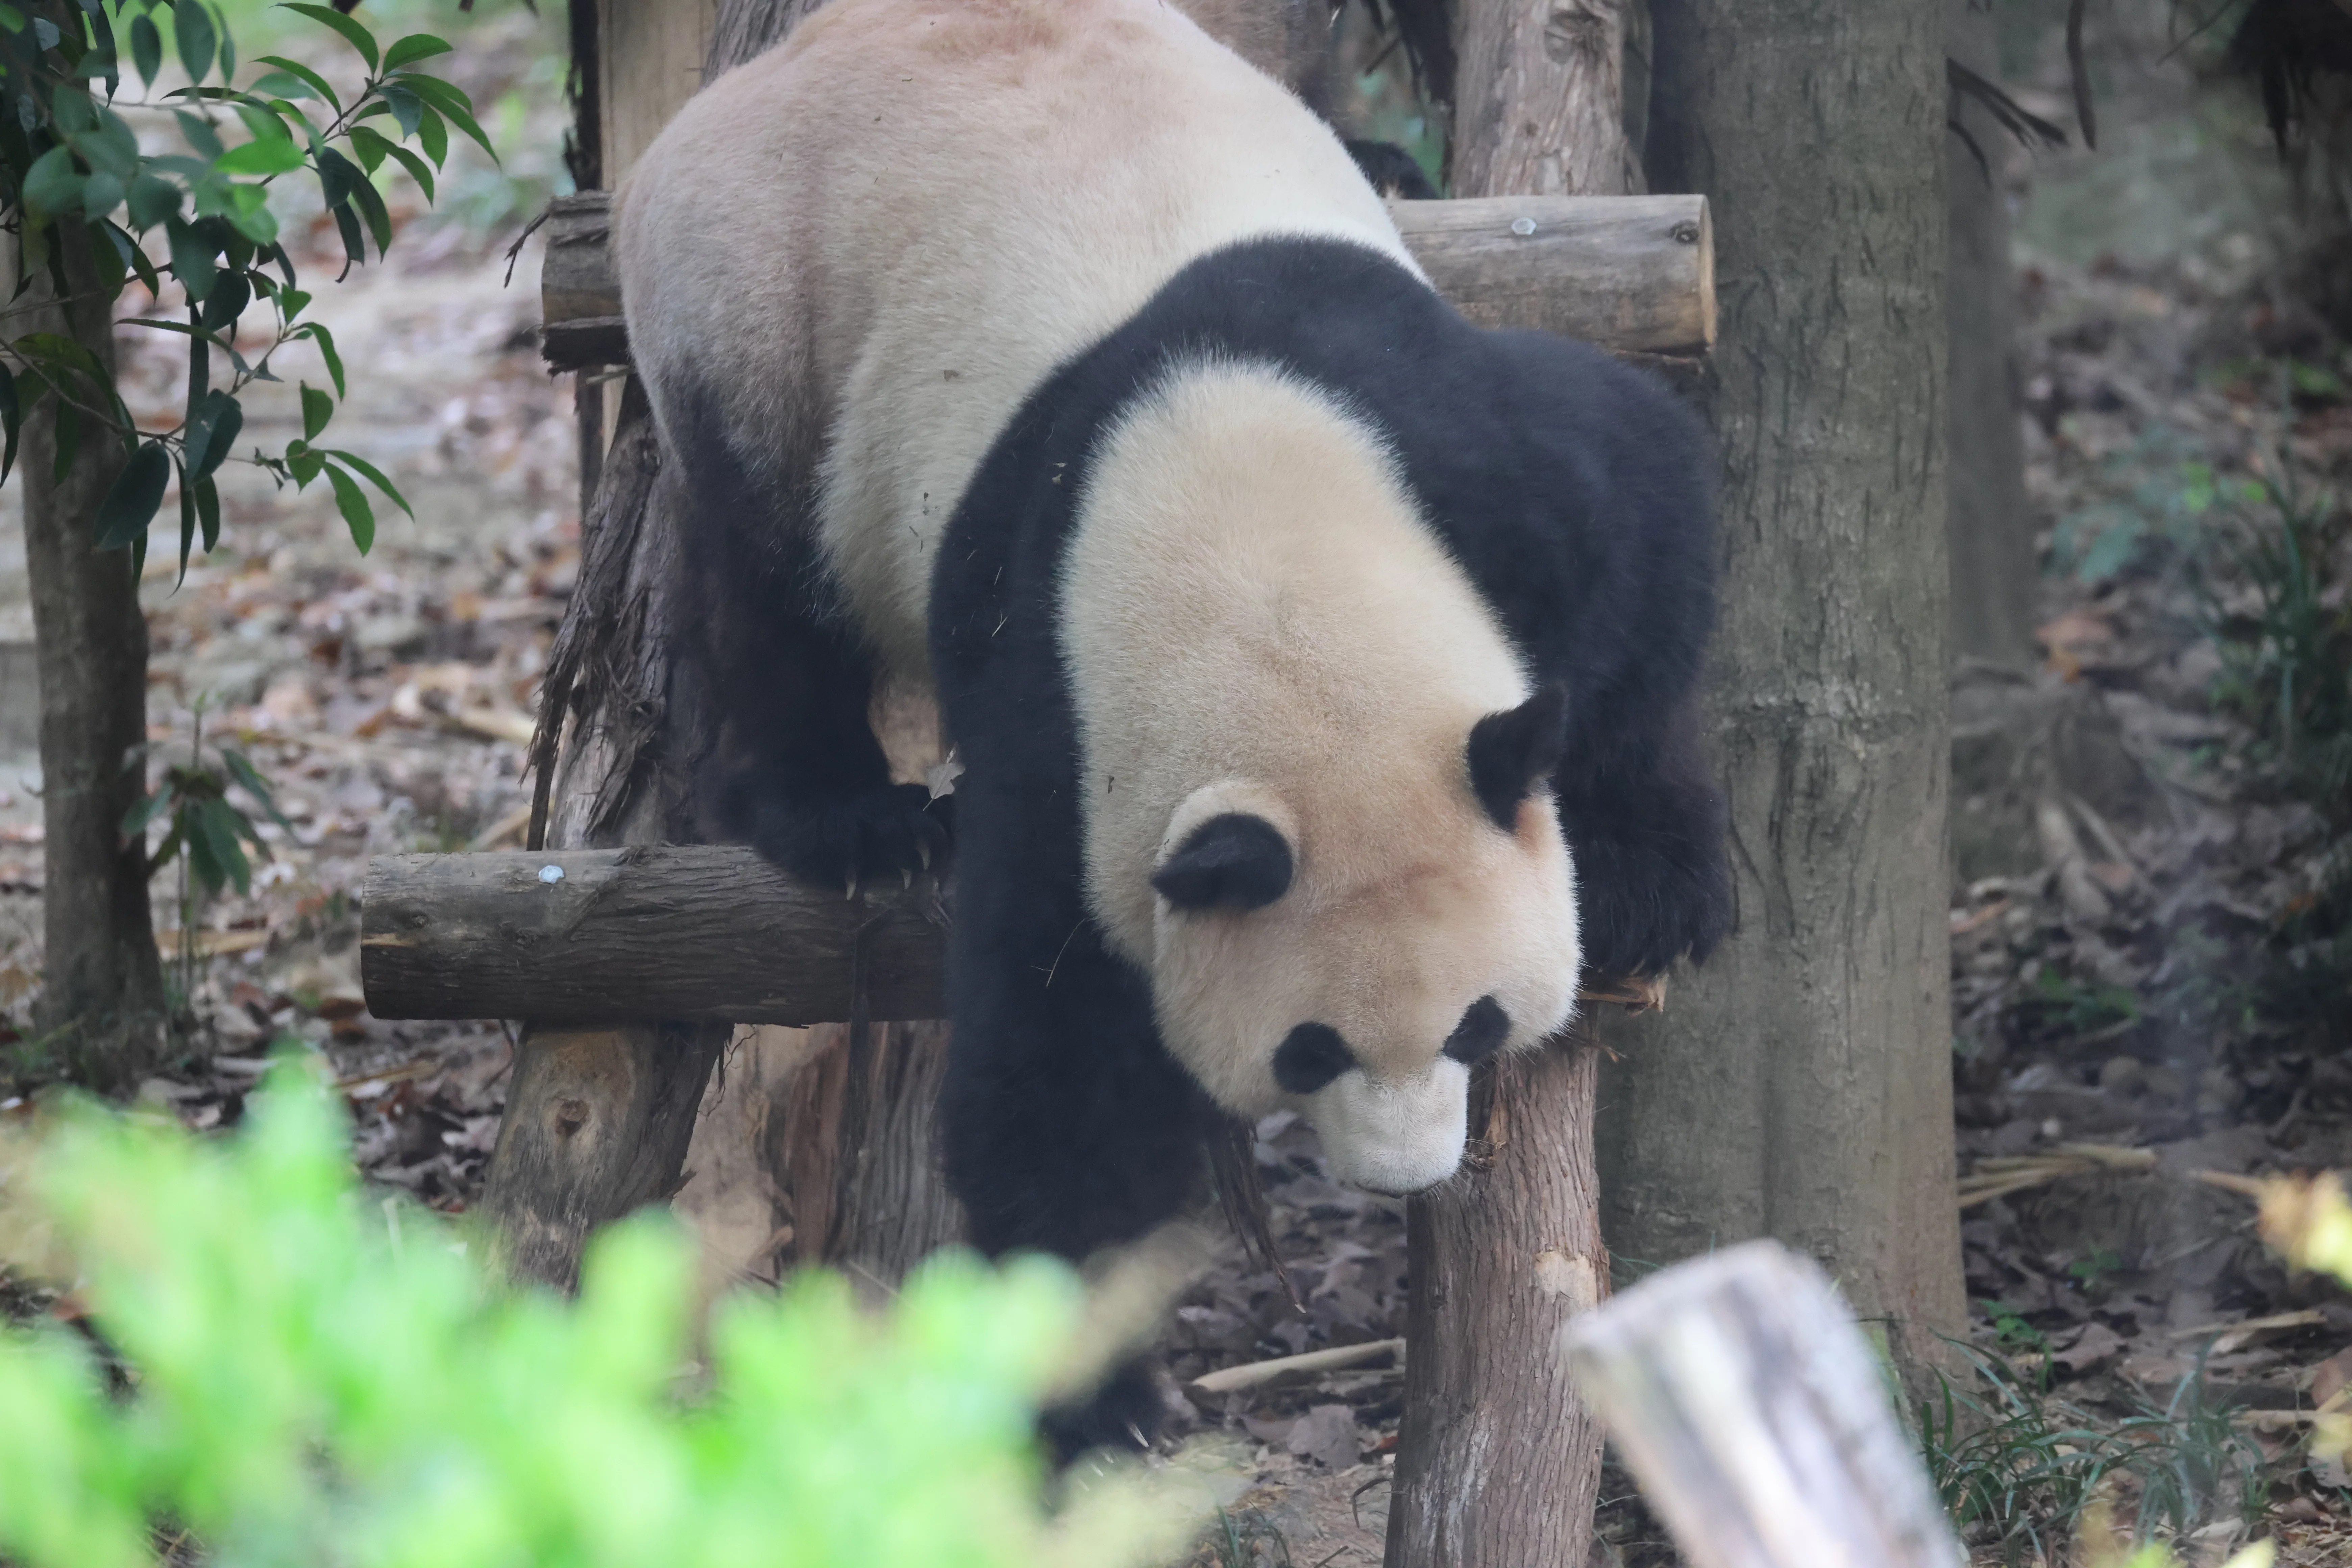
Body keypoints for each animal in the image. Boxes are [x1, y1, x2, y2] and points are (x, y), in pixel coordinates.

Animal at [617, 0, 1726, 1448]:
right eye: (1310, 1050)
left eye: (1477, 1025)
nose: (1404, 1176)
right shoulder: (1058, 725)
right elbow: (1057, 1069)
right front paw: (1107, 1401)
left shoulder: (1472, 462)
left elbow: (1647, 514)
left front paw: (1647, 874)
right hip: (751, 310)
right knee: (764, 568)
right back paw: (846, 814)